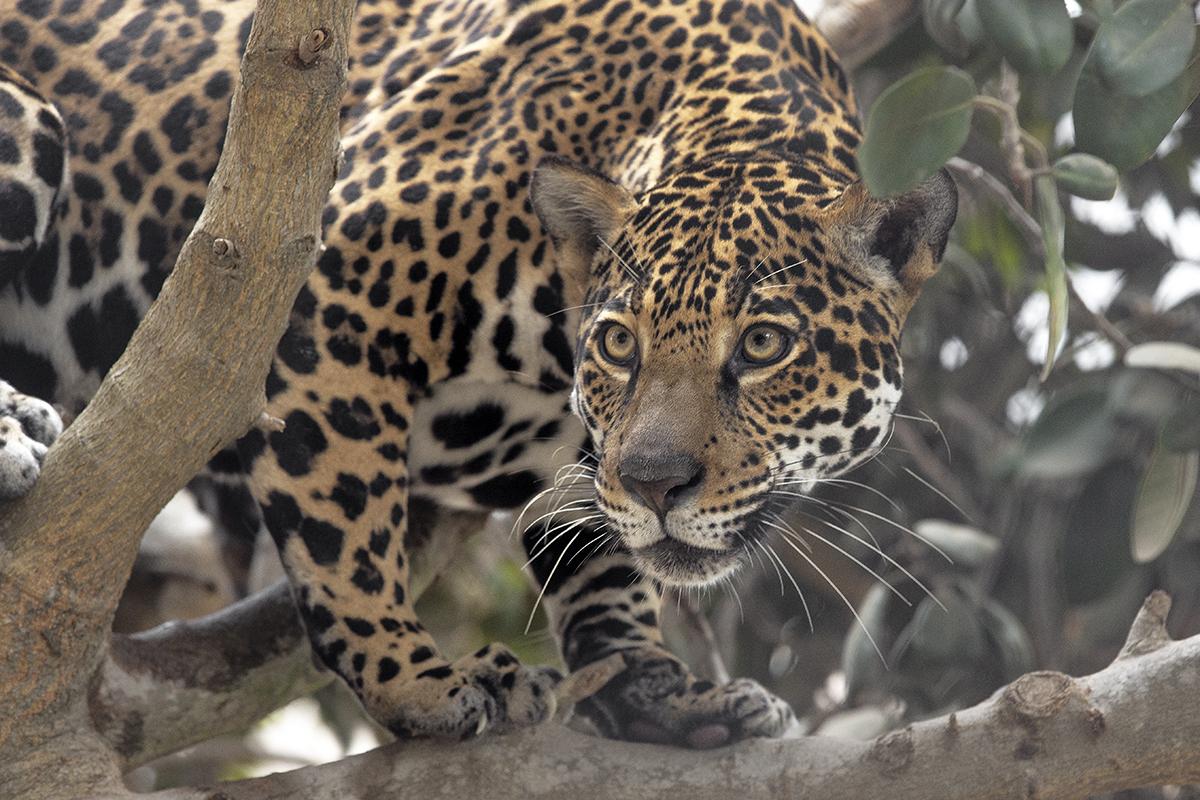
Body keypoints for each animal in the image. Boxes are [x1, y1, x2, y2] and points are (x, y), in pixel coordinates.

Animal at [0, 0, 957, 747]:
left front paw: (652, 687)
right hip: (30, 128)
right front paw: (416, 681)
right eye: (622, 344)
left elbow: (600, 556)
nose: (659, 485)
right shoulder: (318, 288)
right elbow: (348, 530)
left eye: (761, 345)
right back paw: (16, 434)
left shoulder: (583, 452)